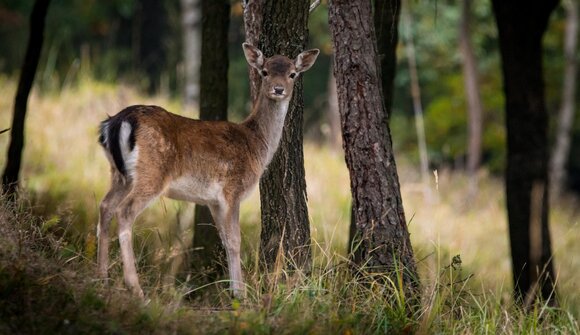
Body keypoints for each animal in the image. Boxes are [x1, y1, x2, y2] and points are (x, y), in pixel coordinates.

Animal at [97, 43, 320, 298]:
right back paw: (135, 288)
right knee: (125, 211)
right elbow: (235, 240)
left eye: (292, 74)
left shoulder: (213, 201)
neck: (257, 145)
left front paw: (233, 289)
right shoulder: (233, 190)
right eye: (264, 72)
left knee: (105, 206)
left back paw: (101, 278)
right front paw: (240, 294)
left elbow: (224, 239)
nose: (279, 89)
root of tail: (117, 122)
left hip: (119, 174)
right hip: (152, 174)